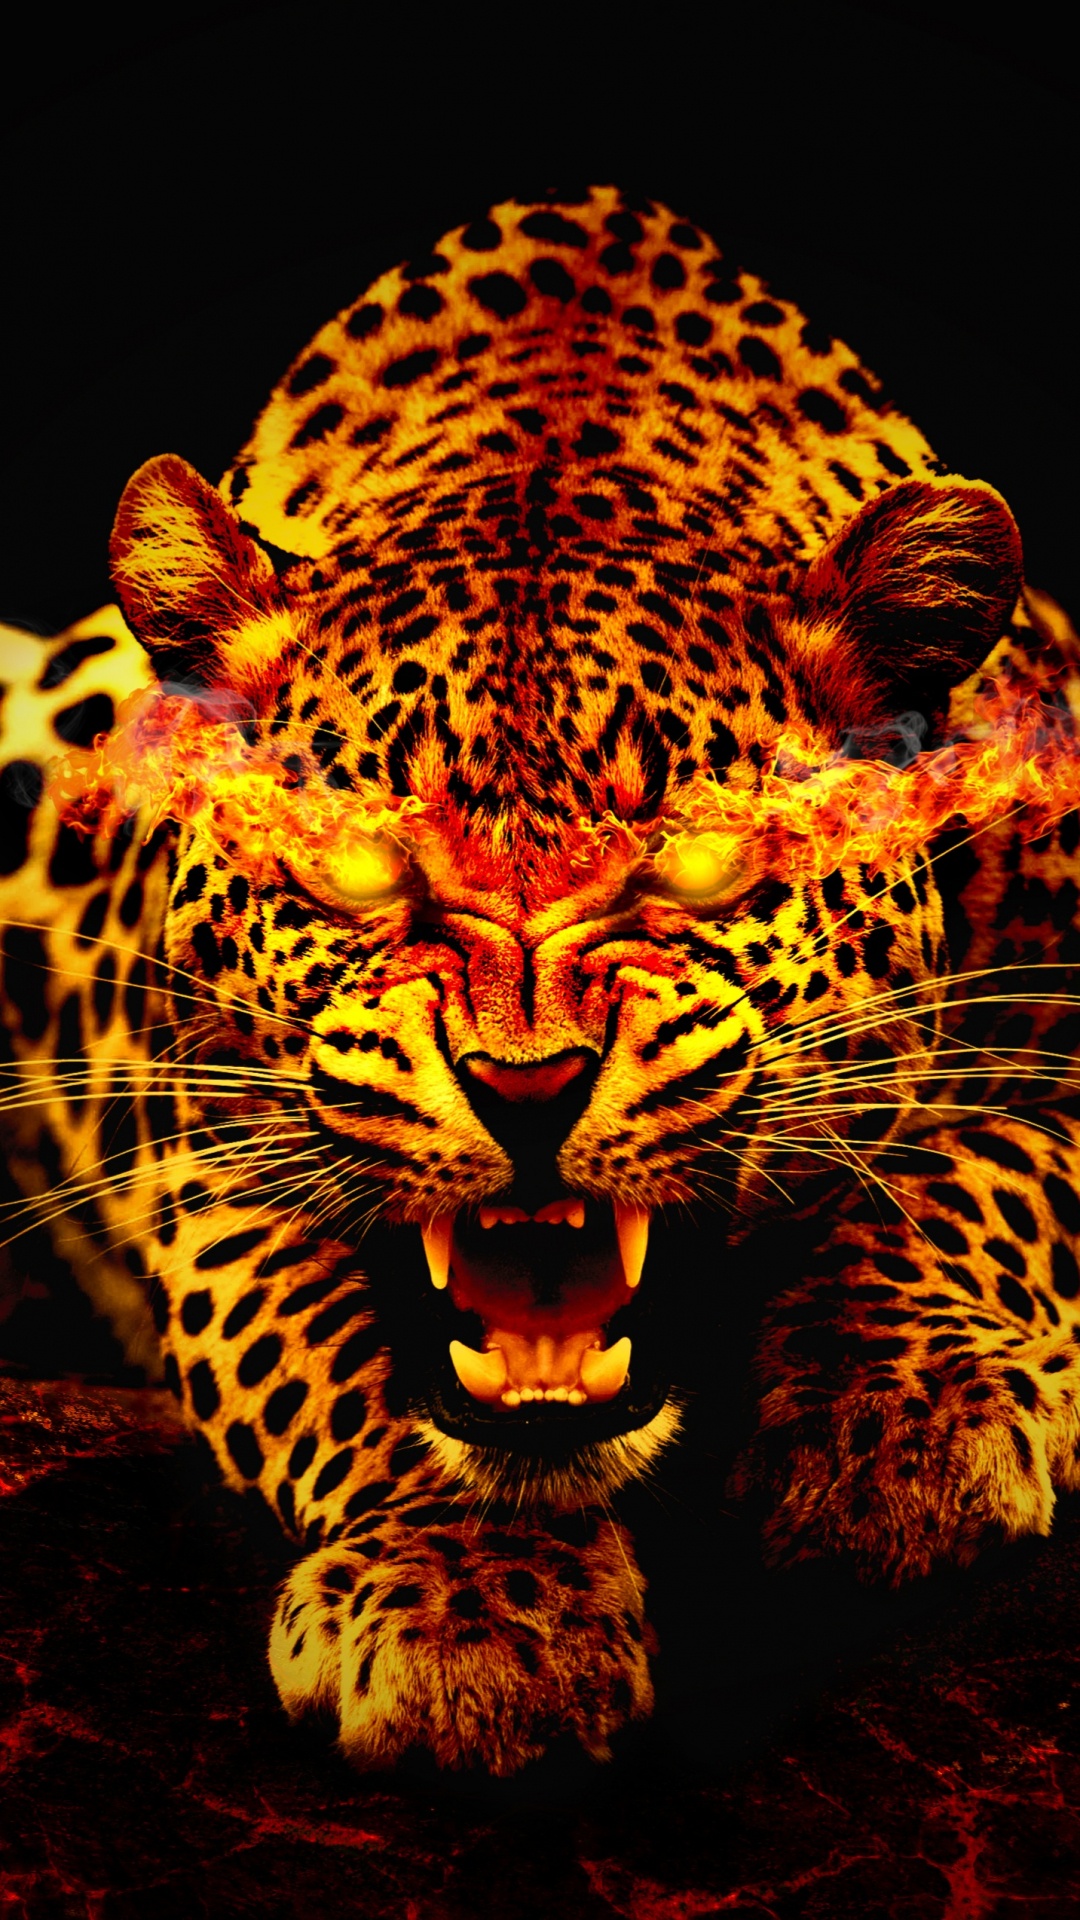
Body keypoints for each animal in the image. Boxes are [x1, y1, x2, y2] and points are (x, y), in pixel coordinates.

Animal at [3, 185, 1080, 1778]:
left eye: (700, 860)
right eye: (355, 863)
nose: (529, 1088)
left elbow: (989, 1162)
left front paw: (902, 1414)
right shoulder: (209, 1159)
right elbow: (339, 1354)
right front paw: (470, 1609)